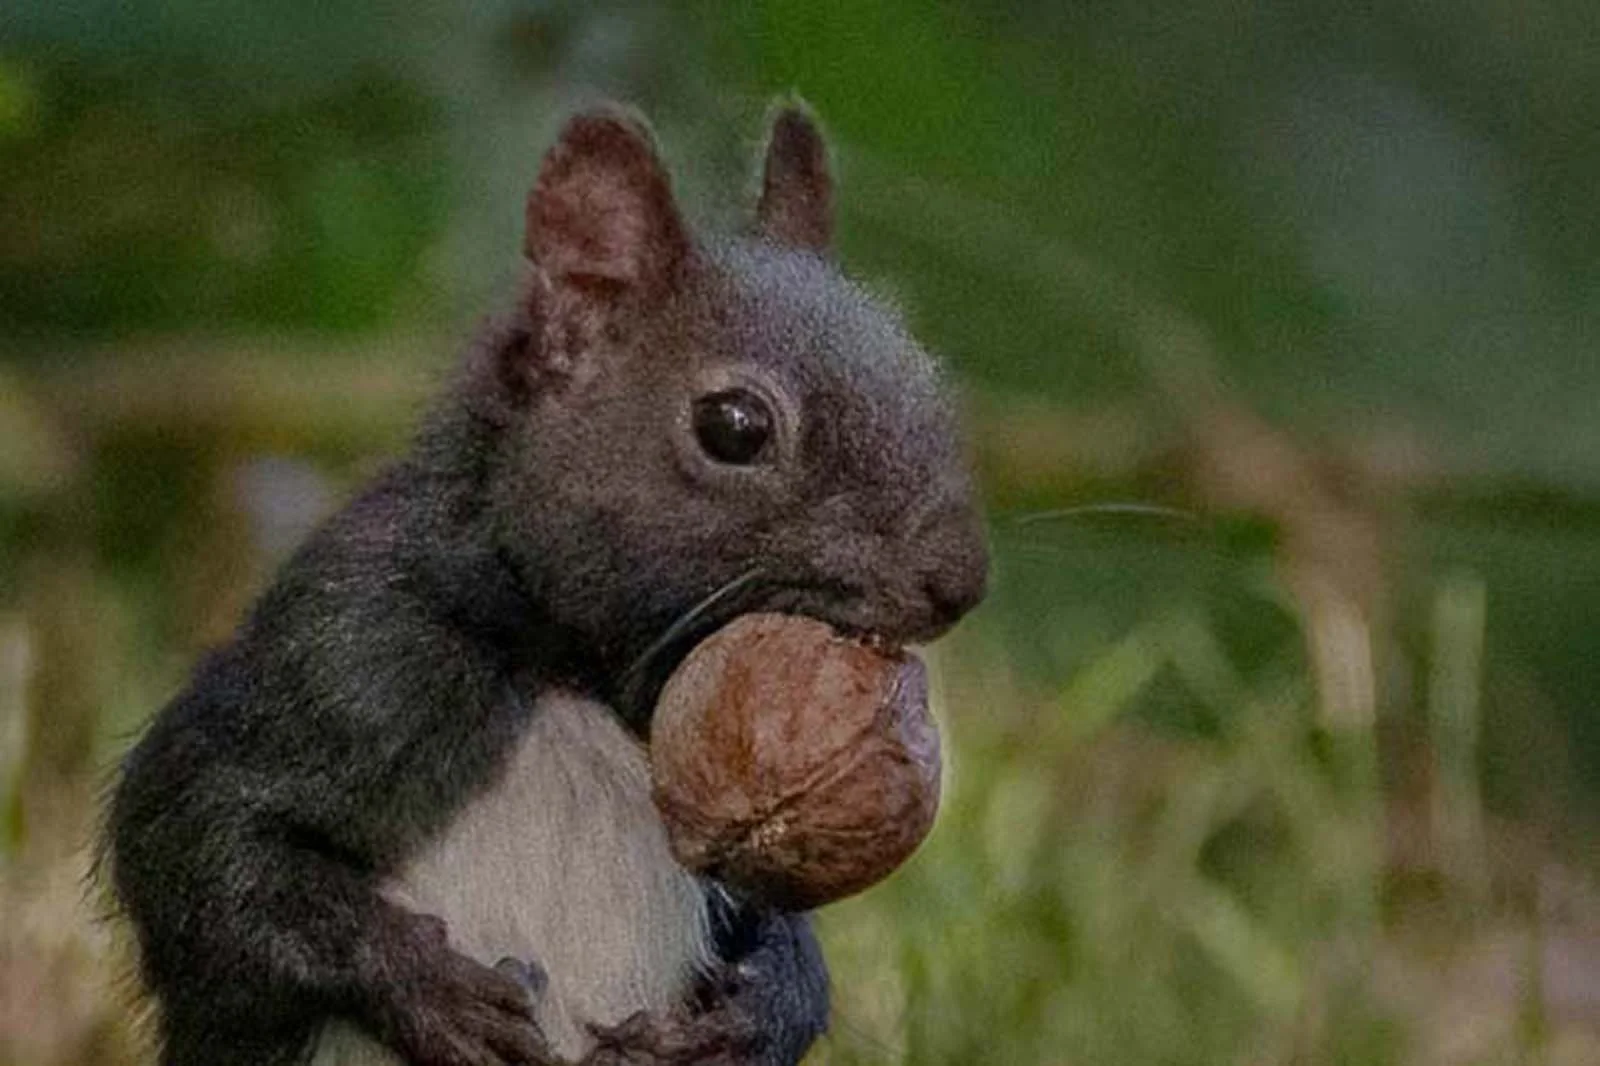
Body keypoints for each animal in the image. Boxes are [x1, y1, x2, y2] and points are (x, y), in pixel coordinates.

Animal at [104, 102, 989, 1066]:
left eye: (925, 380)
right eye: (735, 426)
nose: (960, 580)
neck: (574, 674)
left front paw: (767, 1000)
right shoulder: (346, 661)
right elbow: (200, 844)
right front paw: (427, 987)